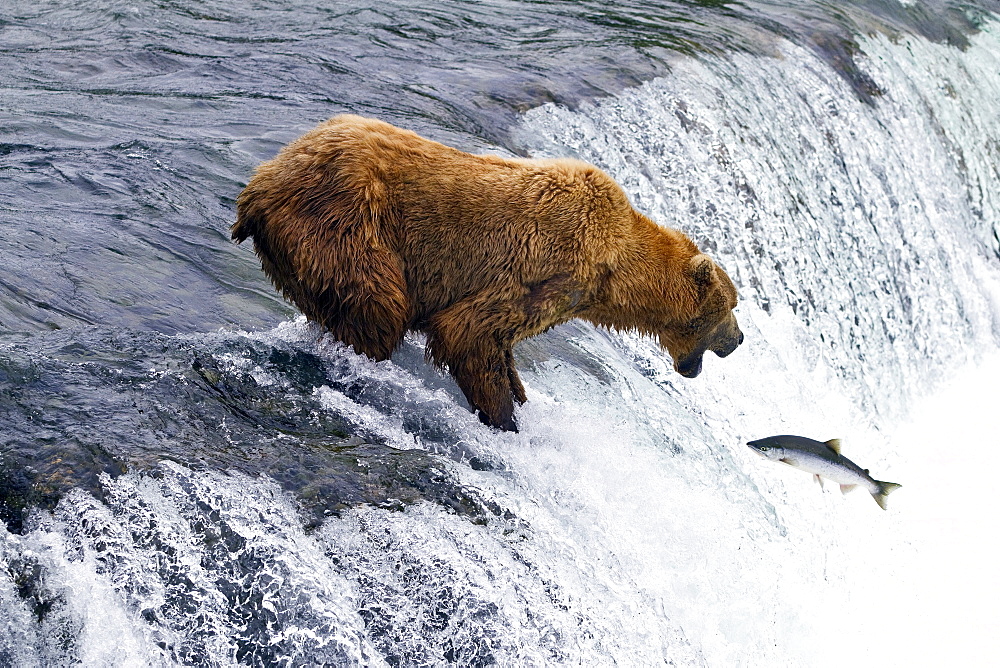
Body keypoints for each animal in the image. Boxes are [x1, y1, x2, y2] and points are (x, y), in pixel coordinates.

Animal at [234, 113, 744, 434]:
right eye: (730, 306)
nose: (738, 339)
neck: (615, 269)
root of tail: (261, 182)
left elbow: (502, 348)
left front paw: (518, 397)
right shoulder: (549, 267)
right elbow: (469, 331)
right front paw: (505, 420)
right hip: (345, 222)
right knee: (378, 306)